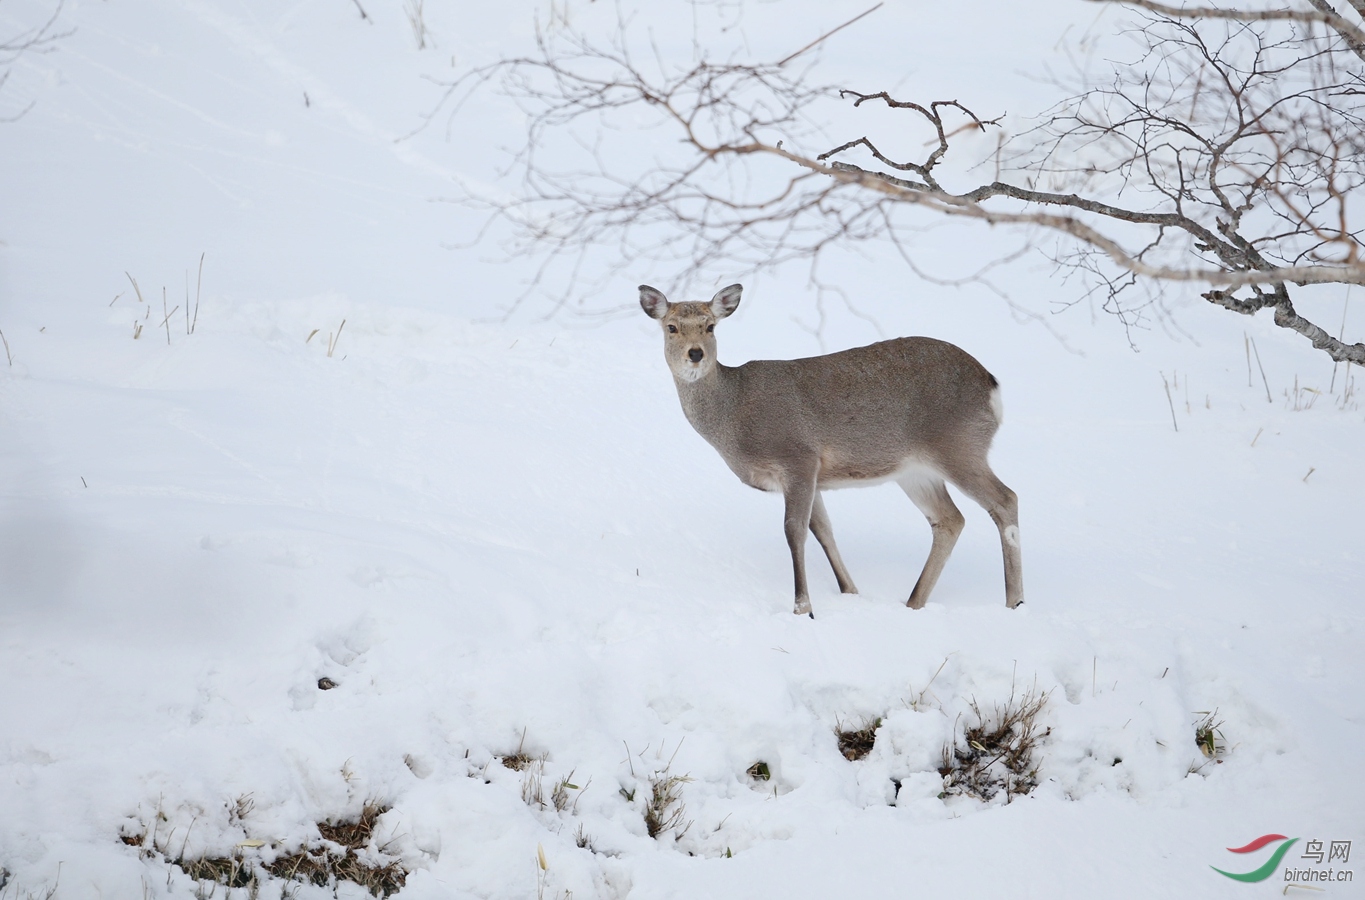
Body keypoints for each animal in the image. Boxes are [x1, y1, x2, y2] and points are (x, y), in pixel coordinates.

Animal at [641, 284, 1026, 620]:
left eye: (710, 326)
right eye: (671, 327)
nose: (695, 353)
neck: (734, 417)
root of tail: (991, 385)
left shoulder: (798, 456)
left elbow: (794, 530)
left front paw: (803, 609)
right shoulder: (811, 475)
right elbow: (822, 529)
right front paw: (850, 593)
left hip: (959, 445)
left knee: (1005, 499)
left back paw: (1015, 602)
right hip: (915, 469)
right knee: (949, 519)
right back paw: (913, 603)